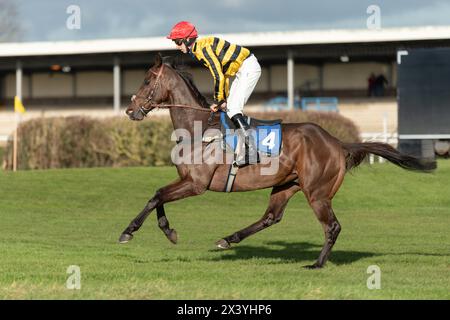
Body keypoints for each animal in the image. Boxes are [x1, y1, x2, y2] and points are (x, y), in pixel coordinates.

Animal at [120, 54, 436, 268]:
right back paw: (228, 239)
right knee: (271, 217)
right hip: (287, 184)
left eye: (147, 80)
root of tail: (337, 142)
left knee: (332, 226)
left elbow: (156, 196)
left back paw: (317, 263)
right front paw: (169, 232)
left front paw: (128, 232)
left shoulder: (196, 184)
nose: (130, 110)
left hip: (317, 192)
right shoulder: (186, 179)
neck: (198, 128)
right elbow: (158, 196)